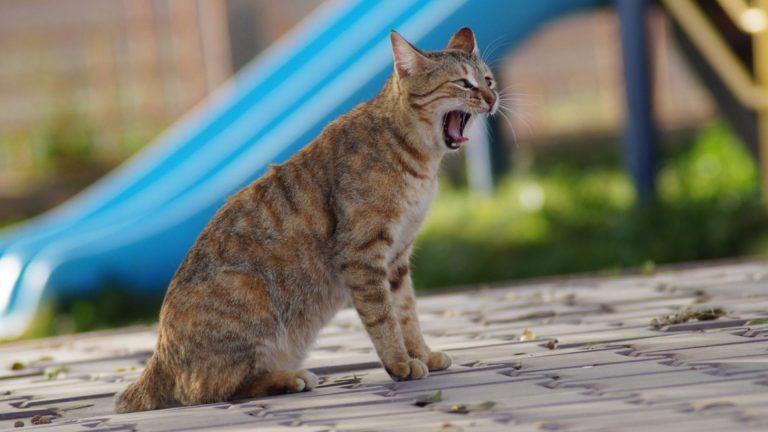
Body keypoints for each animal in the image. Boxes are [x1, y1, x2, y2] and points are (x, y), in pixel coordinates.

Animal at [114, 27, 498, 412]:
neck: (419, 162)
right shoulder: (363, 255)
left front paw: (423, 353)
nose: (493, 98)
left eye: (488, 80)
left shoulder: (398, 258)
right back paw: (289, 379)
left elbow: (407, 314)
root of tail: (157, 361)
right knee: (208, 390)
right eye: (463, 82)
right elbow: (384, 317)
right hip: (248, 289)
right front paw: (400, 362)